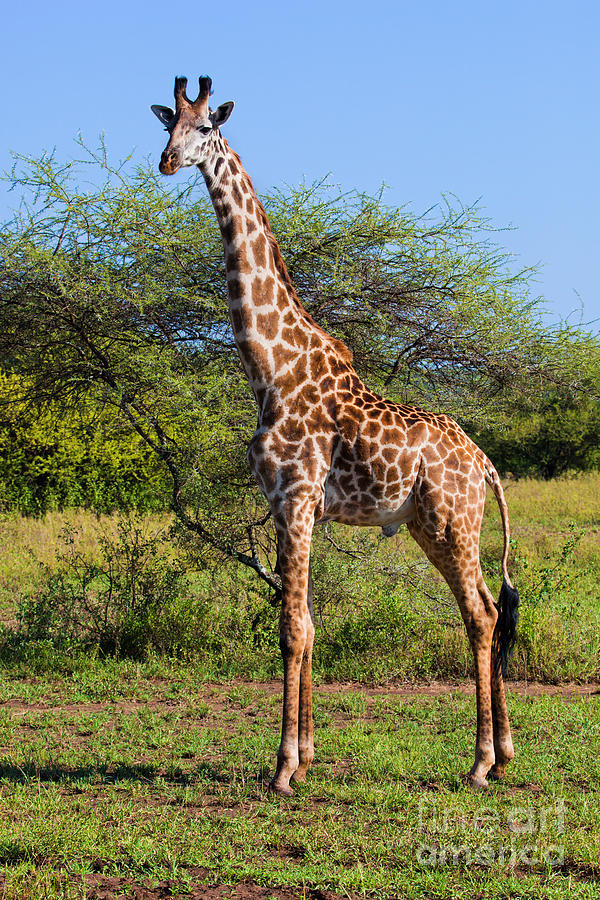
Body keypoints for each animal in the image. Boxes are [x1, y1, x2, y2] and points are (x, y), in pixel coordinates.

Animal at [151, 75, 520, 796]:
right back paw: (504, 751)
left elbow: (292, 628)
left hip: (453, 522)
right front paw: (309, 753)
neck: (270, 367)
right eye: (162, 125)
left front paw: (283, 769)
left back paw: (479, 763)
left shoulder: (294, 497)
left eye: (207, 126)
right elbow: (312, 624)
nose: (168, 162)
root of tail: (486, 464)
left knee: (482, 614)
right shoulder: (293, 506)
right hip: (429, 525)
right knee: (491, 608)